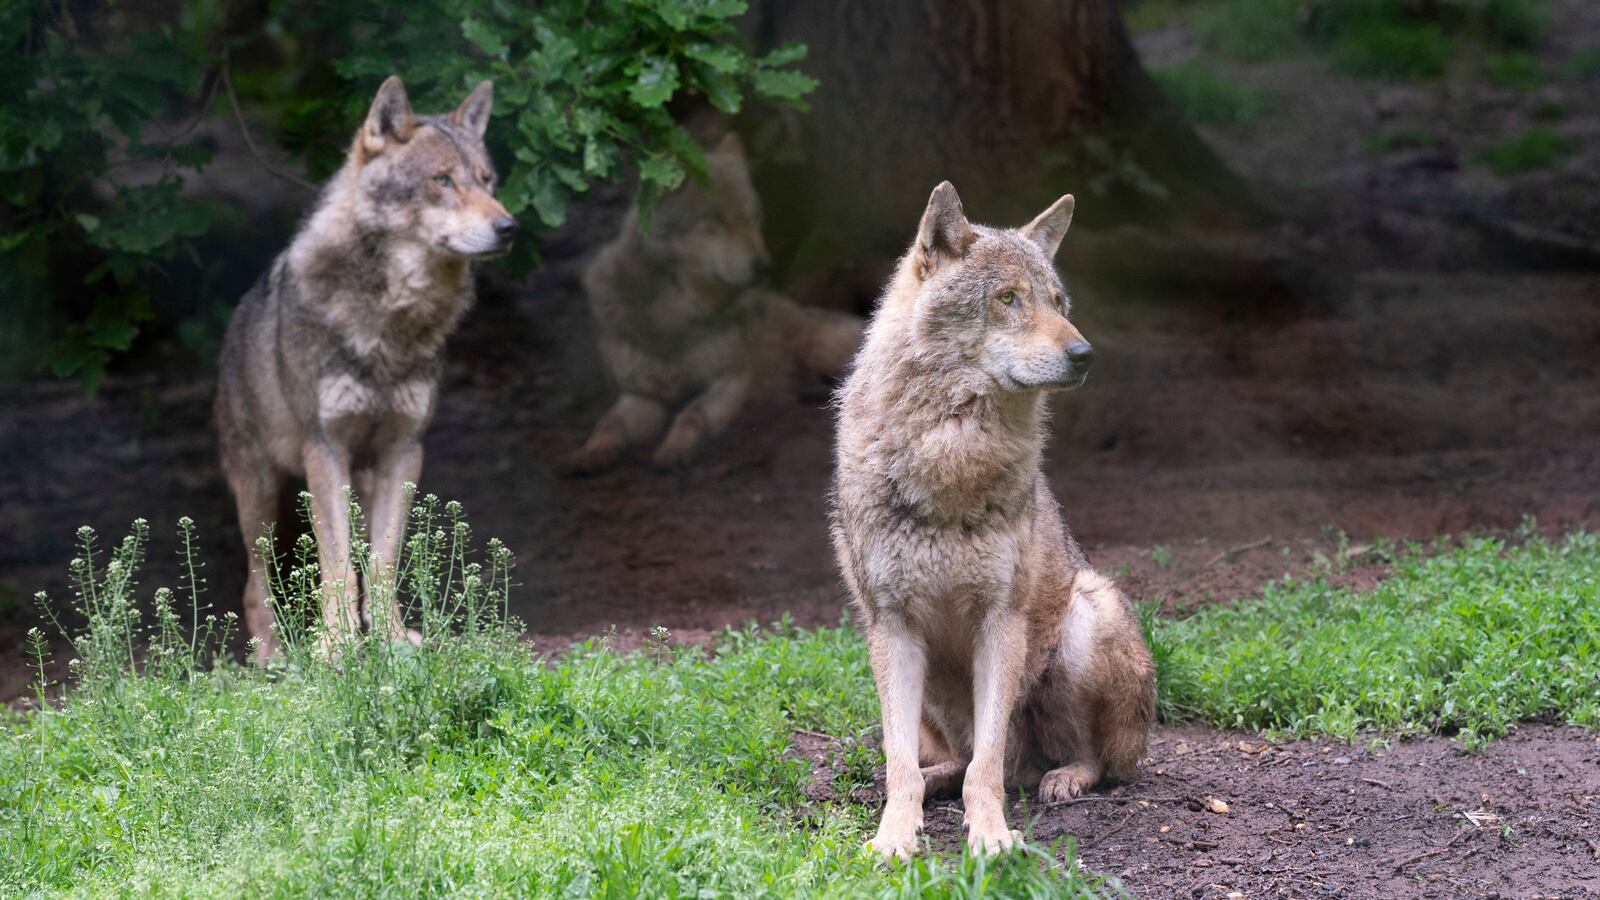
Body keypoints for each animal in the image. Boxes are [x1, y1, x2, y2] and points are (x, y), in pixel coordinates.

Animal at [215, 76, 515, 658]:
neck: (391, 318)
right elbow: (336, 563)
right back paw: (271, 654)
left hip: (363, 478)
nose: (508, 227)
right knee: (255, 582)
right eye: (442, 180)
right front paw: (334, 648)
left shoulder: (404, 449)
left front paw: (393, 640)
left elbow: (382, 561)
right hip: (259, 491)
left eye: (486, 180)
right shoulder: (325, 447)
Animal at [560, 133, 862, 473]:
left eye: (752, 219)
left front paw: (675, 449)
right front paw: (591, 453)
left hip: (823, 348)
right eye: (716, 222)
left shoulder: (728, 381)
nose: (764, 267)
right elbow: (609, 422)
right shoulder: (642, 396)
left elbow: (691, 411)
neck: (676, 318)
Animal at [830, 182, 1155, 860]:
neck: (952, 453)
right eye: (1008, 299)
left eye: (1058, 303)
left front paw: (992, 837)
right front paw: (894, 837)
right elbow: (900, 762)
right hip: (921, 687)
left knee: (1074, 758)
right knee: (948, 761)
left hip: (1086, 617)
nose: (1084, 354)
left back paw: (1063, 778)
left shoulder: (1000, 621)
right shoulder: (892, 626)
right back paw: (933, 782)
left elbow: (987, 762)